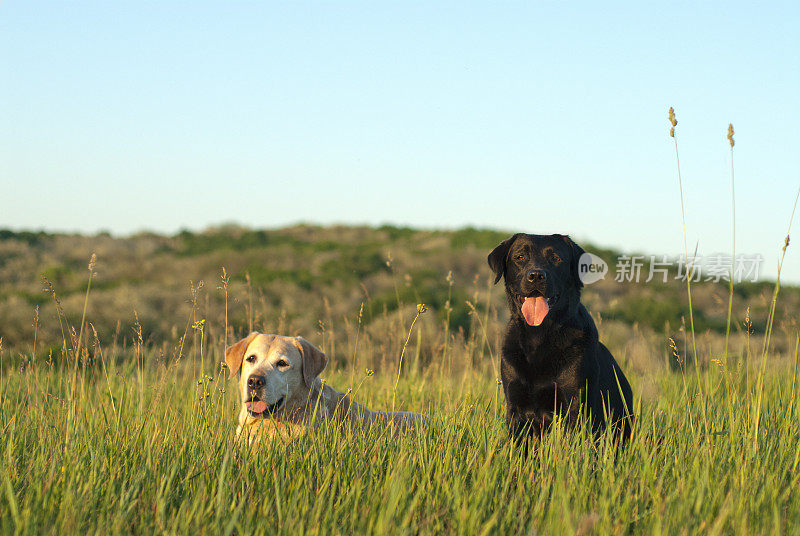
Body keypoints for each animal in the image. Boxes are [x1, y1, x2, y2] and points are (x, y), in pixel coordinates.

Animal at [488, 232, 632, 442]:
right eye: (520, 257)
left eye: (555, 259)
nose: (536, 276)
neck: (538, 336)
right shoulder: (516, 408)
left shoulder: (575, 406)